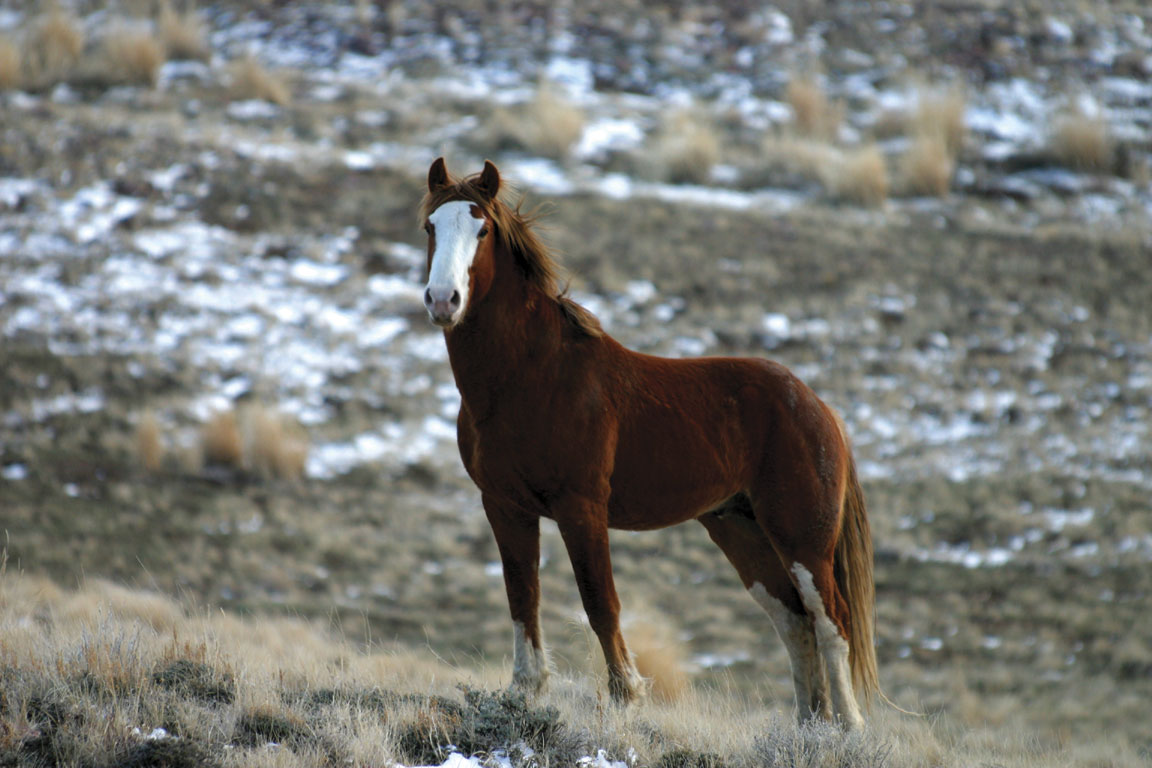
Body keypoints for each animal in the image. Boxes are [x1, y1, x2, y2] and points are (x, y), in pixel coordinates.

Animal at [419, 156, 875, 727]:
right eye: (430, 227)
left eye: (481, 230)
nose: (443, 301)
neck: (529, 376)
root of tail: (818, 408)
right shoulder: (504, 506)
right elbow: (523, 597)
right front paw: (525, 692)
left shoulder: (581, 507)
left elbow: (600, 601)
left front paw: (625, 696)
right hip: (741, 532)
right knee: (794, 623)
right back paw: (809, 726)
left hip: (802, 537)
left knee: (831, 620)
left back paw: (848, 729)